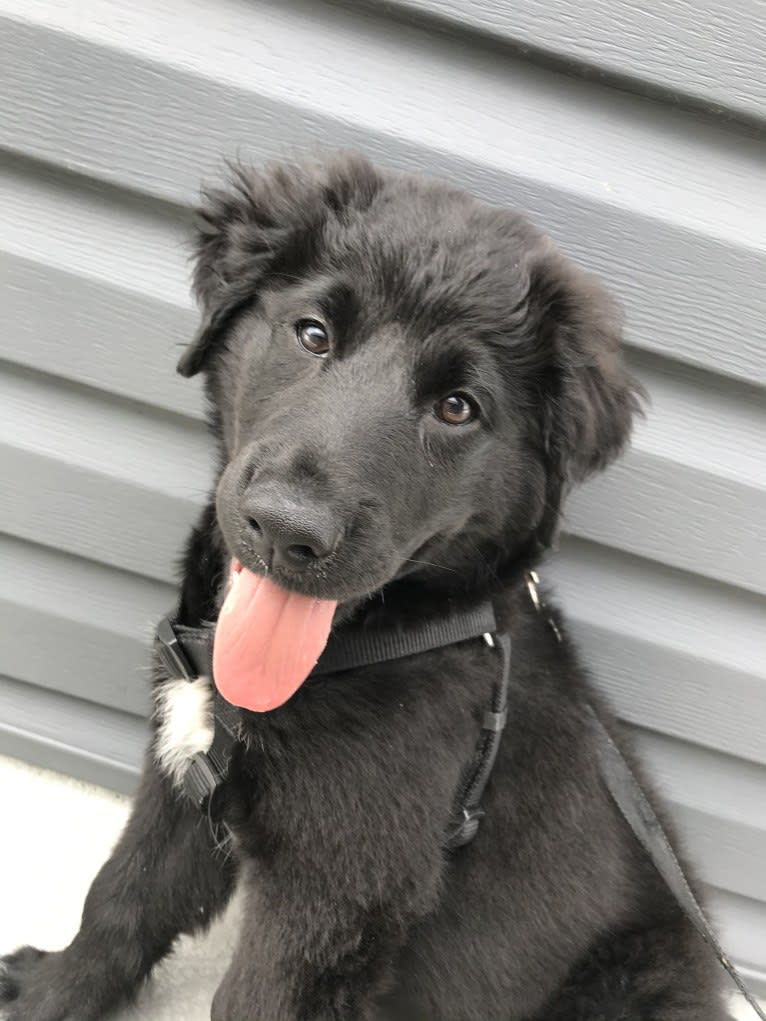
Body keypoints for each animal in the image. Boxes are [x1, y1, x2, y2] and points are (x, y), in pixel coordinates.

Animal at [0, 153, 727, 1021]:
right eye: (313, 333)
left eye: (458, 407)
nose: (287, 529)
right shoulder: (184, 776)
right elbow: (121, 896)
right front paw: (51, 992)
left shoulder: (333, 896)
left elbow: (247, 997)